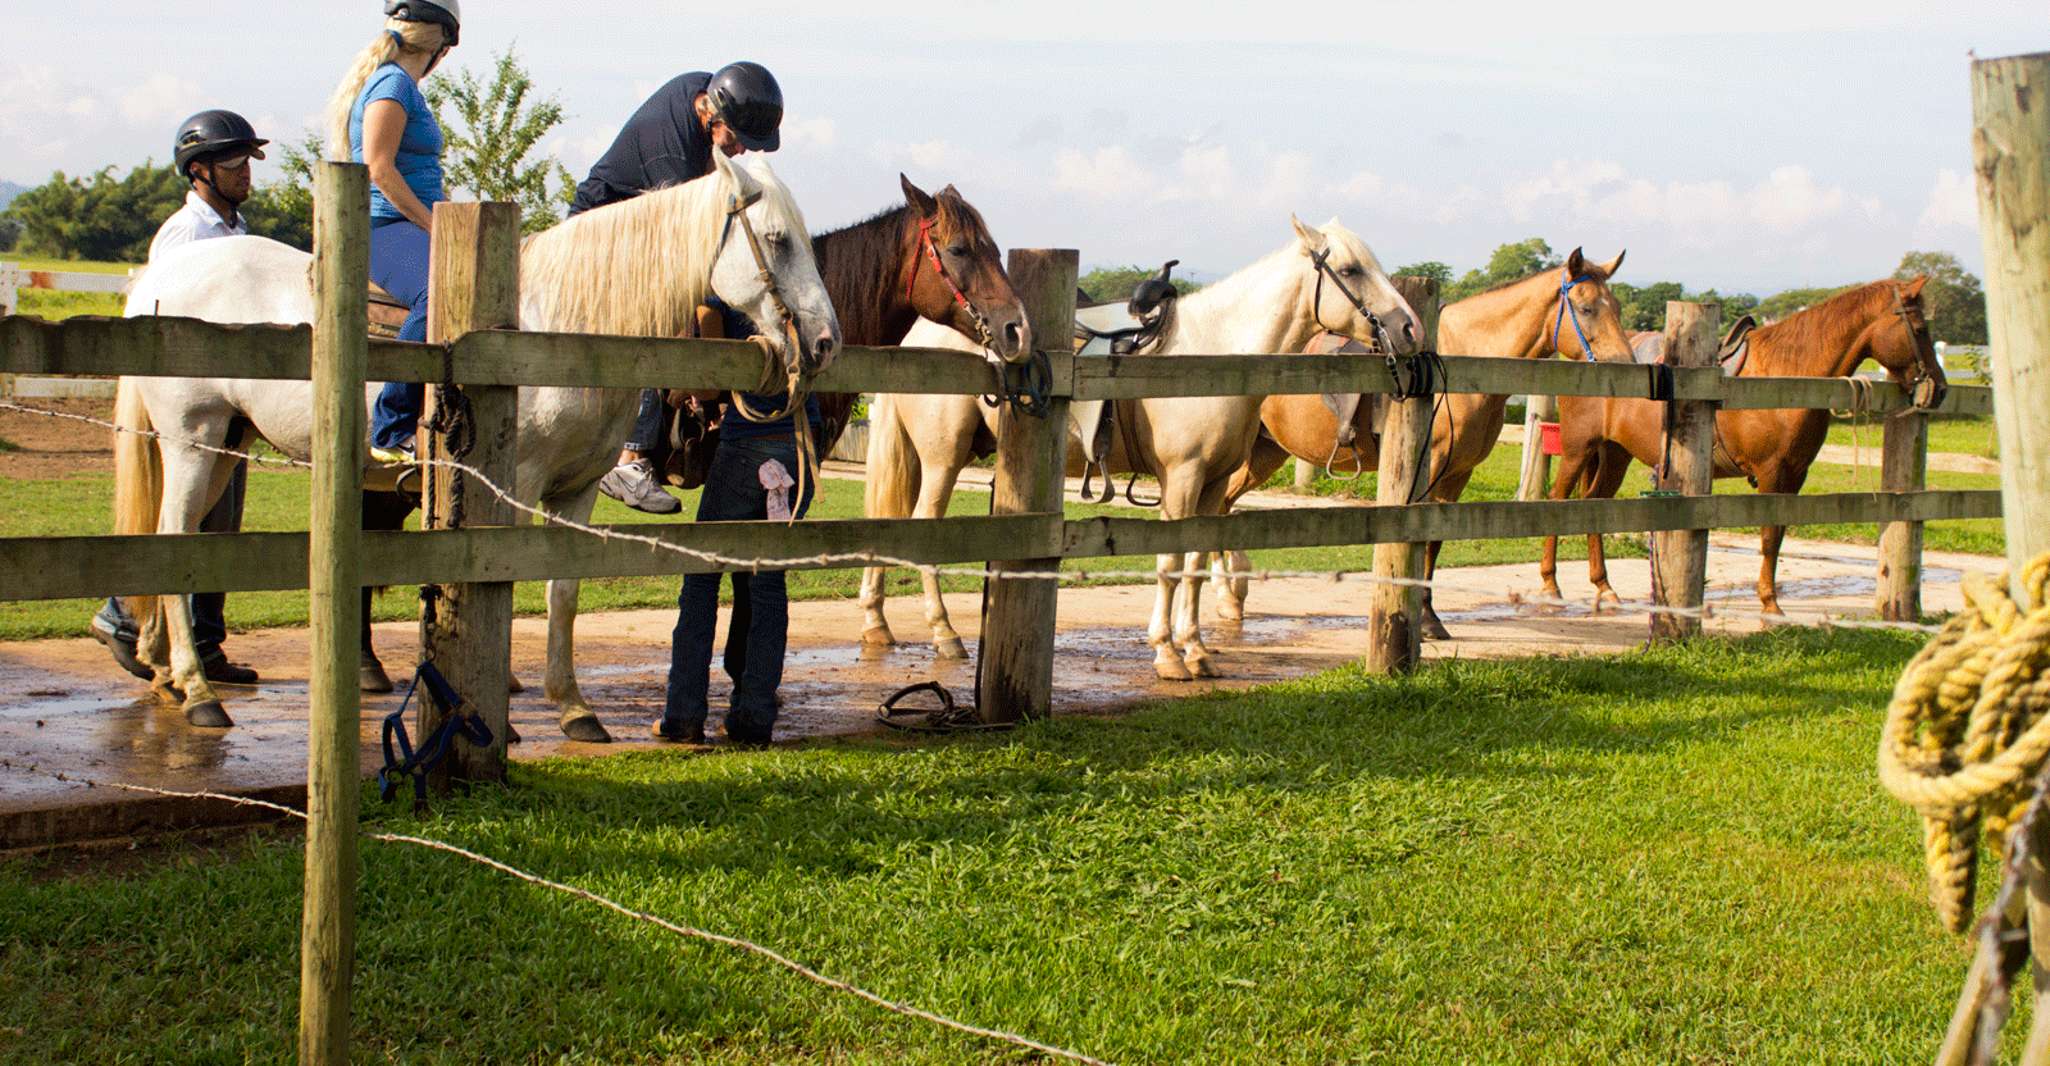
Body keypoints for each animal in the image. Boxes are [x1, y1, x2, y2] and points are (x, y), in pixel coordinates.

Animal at [112, 150, 840, 735]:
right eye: (776, 240)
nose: (826, 341)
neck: (563, 330)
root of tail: (158, 277)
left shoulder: (575, 492)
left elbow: (563, 594)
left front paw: (573, 708)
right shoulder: (512, 484)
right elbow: (505, 582)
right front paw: (503, 714)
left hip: (219, 443)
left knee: (169, 547)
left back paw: (167, 673)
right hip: (192, 438)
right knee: (174, 542)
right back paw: (199, 692)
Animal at [1211, 251, 1638, 635]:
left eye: (1617, 306)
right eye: (1586, 308)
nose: (1625, 366)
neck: (1465, 358)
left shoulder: (1457, 475)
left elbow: (1435, 542)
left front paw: (1431, 617)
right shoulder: (1429, 467)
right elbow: (1422, 541)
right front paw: (1427, 619)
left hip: (1264, 454)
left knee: (1223, 506)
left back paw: (1230, 596)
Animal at [1538, 276, 1948, 613]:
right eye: (1919, 328)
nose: (1940, 389)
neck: (1786, 375)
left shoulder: (1795, 475)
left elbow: (1778, 537)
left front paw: (1771, 598)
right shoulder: (1772, 473)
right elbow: (1768, 537)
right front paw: (1770, 604)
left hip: (1615, 455)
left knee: (1594, 505)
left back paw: (1604, 588)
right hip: (1577, 450)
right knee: (1558, 501)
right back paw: (1551, 585)